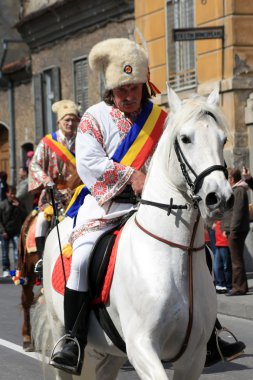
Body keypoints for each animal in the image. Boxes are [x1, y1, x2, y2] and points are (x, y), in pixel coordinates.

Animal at [37, 87, 233, 380]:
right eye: (185, 138)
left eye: (223, 139)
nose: (219, 198)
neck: (177, 256)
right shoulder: (142, 347)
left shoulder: (194, 356)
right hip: (59, 327)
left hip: (110, 353)